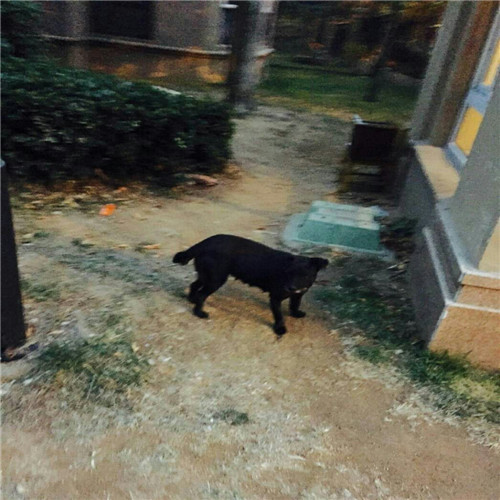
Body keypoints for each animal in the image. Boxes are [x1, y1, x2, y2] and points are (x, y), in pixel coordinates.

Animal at [173, 234, 328, 336]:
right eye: (289, 273)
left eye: (305, 275)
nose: (290, 287)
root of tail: (205, 242)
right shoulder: (275, 298)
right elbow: (279, 316)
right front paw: (279, 329)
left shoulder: (298, 294)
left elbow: (294, 305)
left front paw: (296, 314)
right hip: (215, 279)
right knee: (201, 294)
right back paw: (199, 313)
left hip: (207, 276)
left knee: (194, 285)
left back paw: (191, 300)